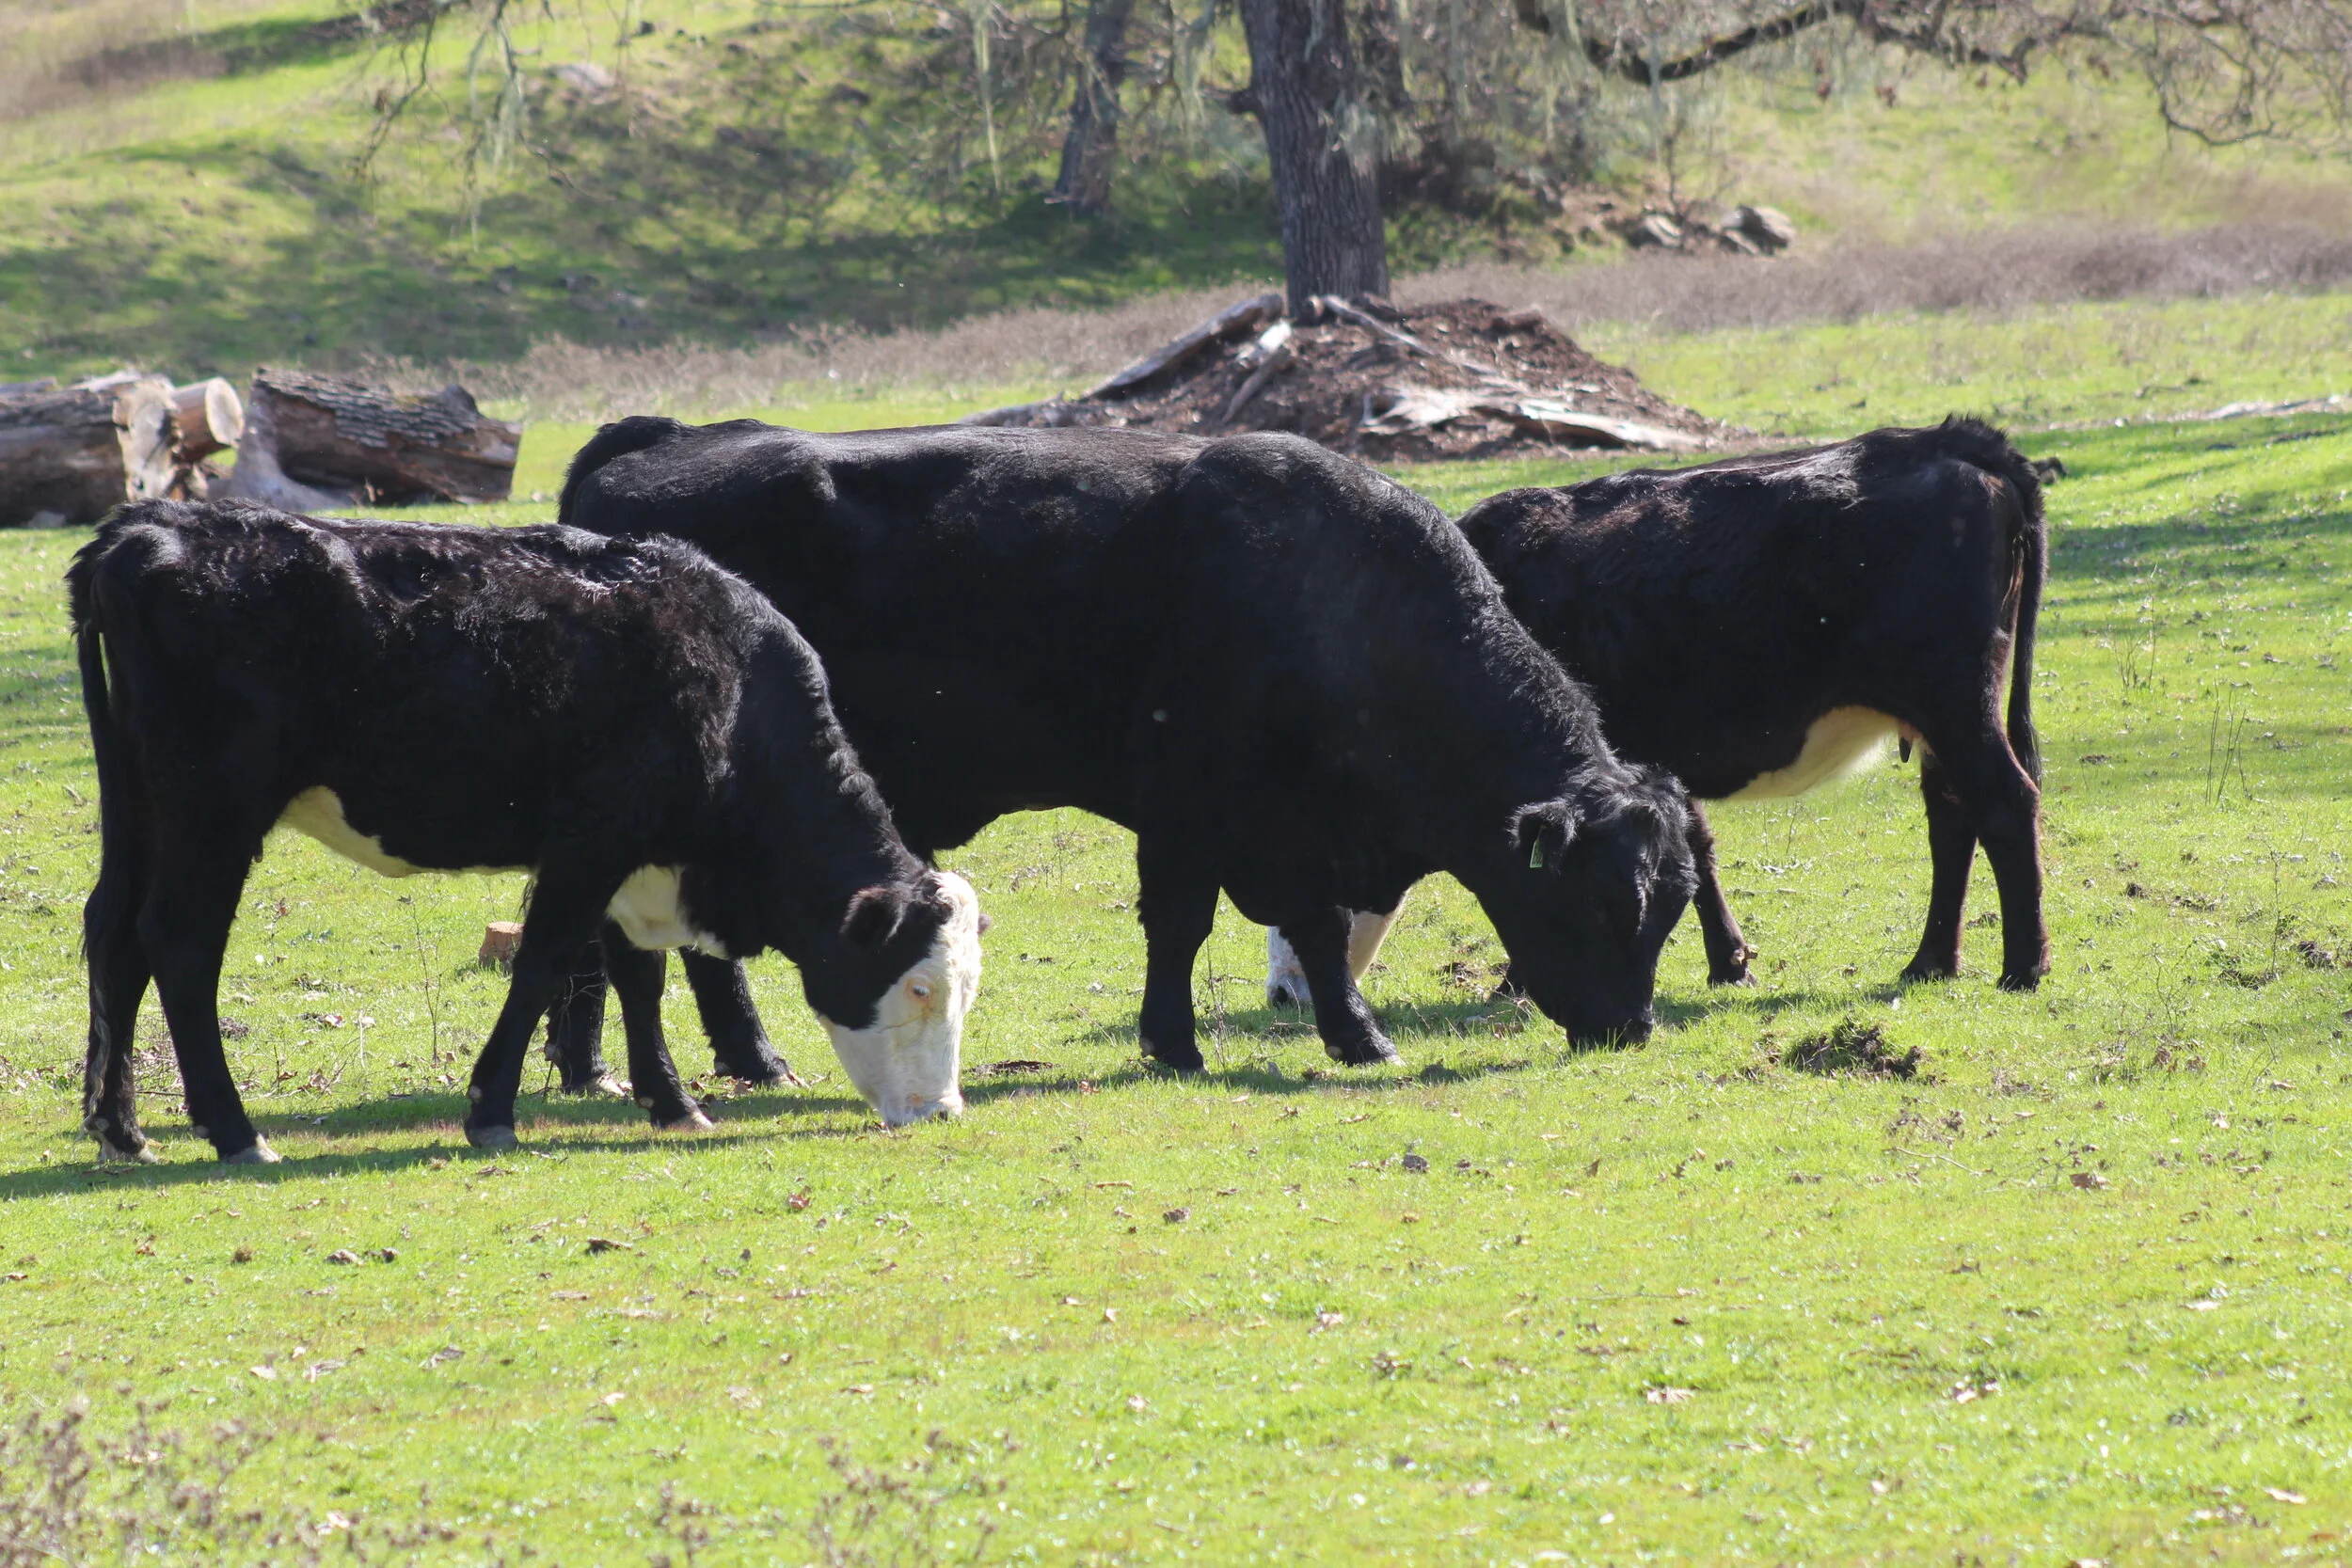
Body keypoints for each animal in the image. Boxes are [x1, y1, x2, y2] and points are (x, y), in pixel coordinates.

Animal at [69, 499, 981, 1164]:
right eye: (918, 986)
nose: (943, 1110)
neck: (726, 684)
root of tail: (146, 528)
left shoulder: (633, 860)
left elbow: (639, 978)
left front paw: (672, 1101)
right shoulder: (589, 845)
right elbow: (545, 964)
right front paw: (492, 1109)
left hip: (141, 810)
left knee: (115, 935)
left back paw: (121, 1128)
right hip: (212, 815)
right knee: (179, 946)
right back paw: (235, 1131)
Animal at [545, 420, 1697, 1077]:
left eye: (1672, 905)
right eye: (1610, 900)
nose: (1631, 1029)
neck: (1339, 598)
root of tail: (645, 448)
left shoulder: (1293, 832)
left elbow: (1318, 934)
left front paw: (1356, 1036)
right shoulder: (1189, 806)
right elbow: (1181, 927)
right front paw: (1176, 1043)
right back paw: (705, 1059)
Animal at [1264, 416, 2049, 1006]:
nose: (1282, 995)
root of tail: (1952, 441)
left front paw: (1520, 982)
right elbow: (1693, 844)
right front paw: (1729, 961)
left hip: (1955, 702)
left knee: (2004, 803)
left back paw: (2023, 965)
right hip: (1944, 717)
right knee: (1953, 815)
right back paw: (1931, 961)